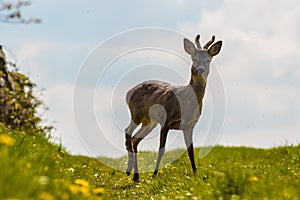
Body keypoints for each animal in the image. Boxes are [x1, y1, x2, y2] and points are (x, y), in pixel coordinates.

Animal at [123, 34, 221, 181]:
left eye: (208, 60)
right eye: (194, 58)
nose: (200, 70)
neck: (186, 102)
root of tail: (128, 92)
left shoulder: (189, 126)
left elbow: (191, 151)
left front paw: (195, 175)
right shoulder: (166, 120)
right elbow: (161, 149)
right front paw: (154, 174)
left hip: (150, 122)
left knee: (135, 139)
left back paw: (136, 176)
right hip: (136, 113)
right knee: (128, 131)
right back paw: (129, 170)